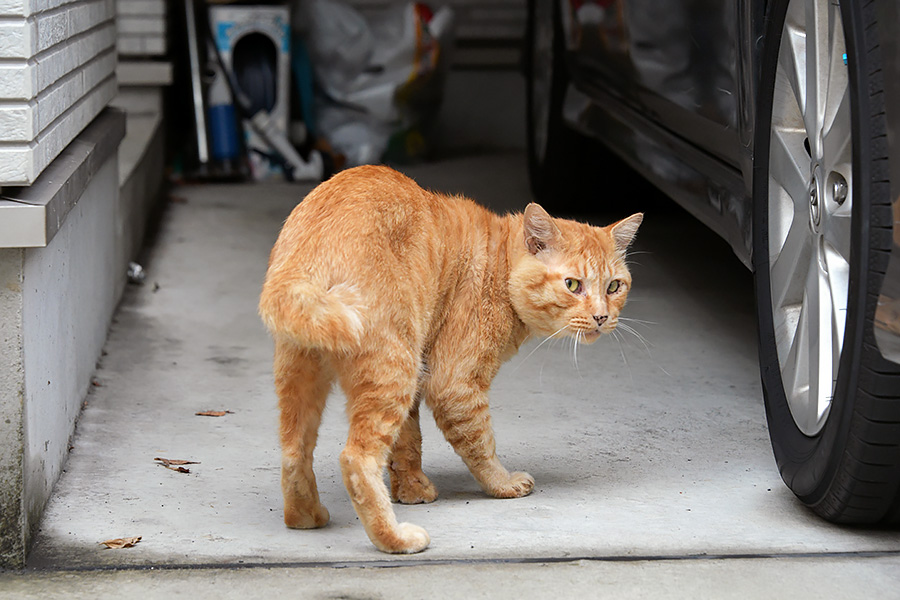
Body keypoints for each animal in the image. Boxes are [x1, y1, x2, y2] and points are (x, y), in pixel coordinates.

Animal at [258, 164, 640, 552]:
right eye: (573, 285)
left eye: (614, 286)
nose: (602, 317)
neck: (499, 264)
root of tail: (312, 245)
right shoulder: (452, 384)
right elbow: (481, 443)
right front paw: (502, 484)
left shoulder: (420, 372)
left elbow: (408, 442)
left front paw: (411, 490)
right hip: (393, 369)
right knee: (355, 459)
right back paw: (395, 539)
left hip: (303, 379)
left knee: (294, 453)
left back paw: (305, 517)